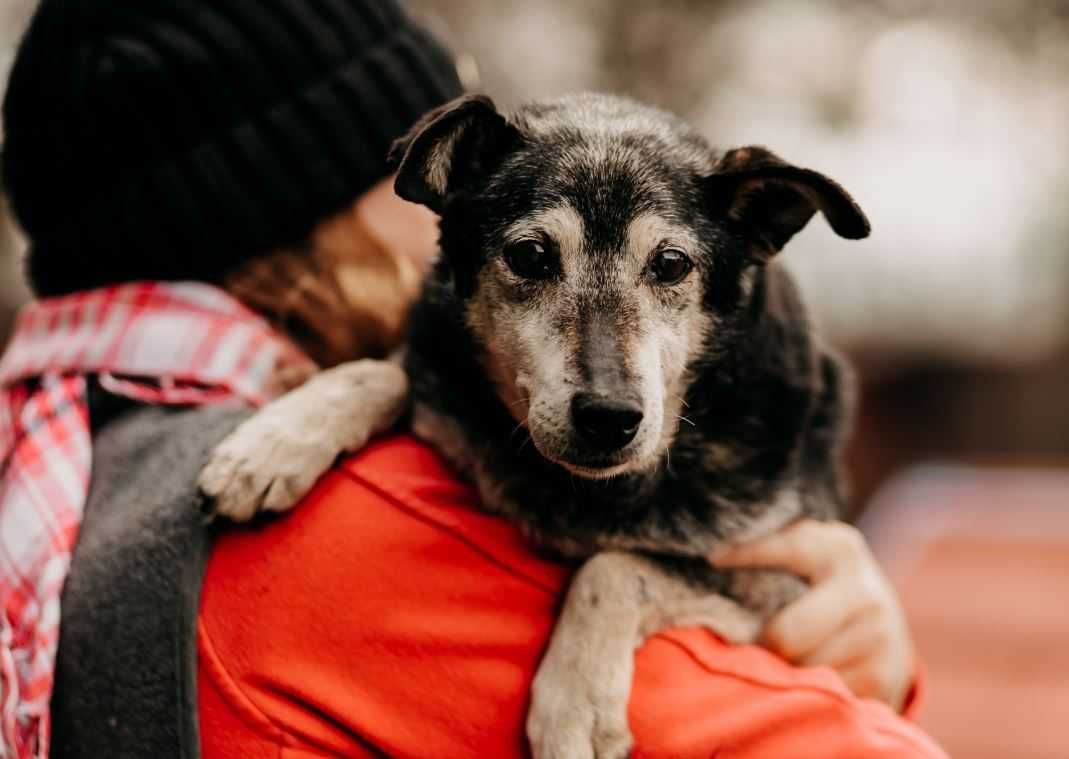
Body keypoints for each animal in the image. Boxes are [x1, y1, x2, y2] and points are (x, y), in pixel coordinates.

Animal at [198, 91, 868, 756]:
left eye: (672, 264)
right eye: (530, 255)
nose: (610, 418)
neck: (584, 489)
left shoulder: (776, 586)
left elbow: (618, 566)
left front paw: (577, 706)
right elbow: (387, 373)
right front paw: (274, 445)